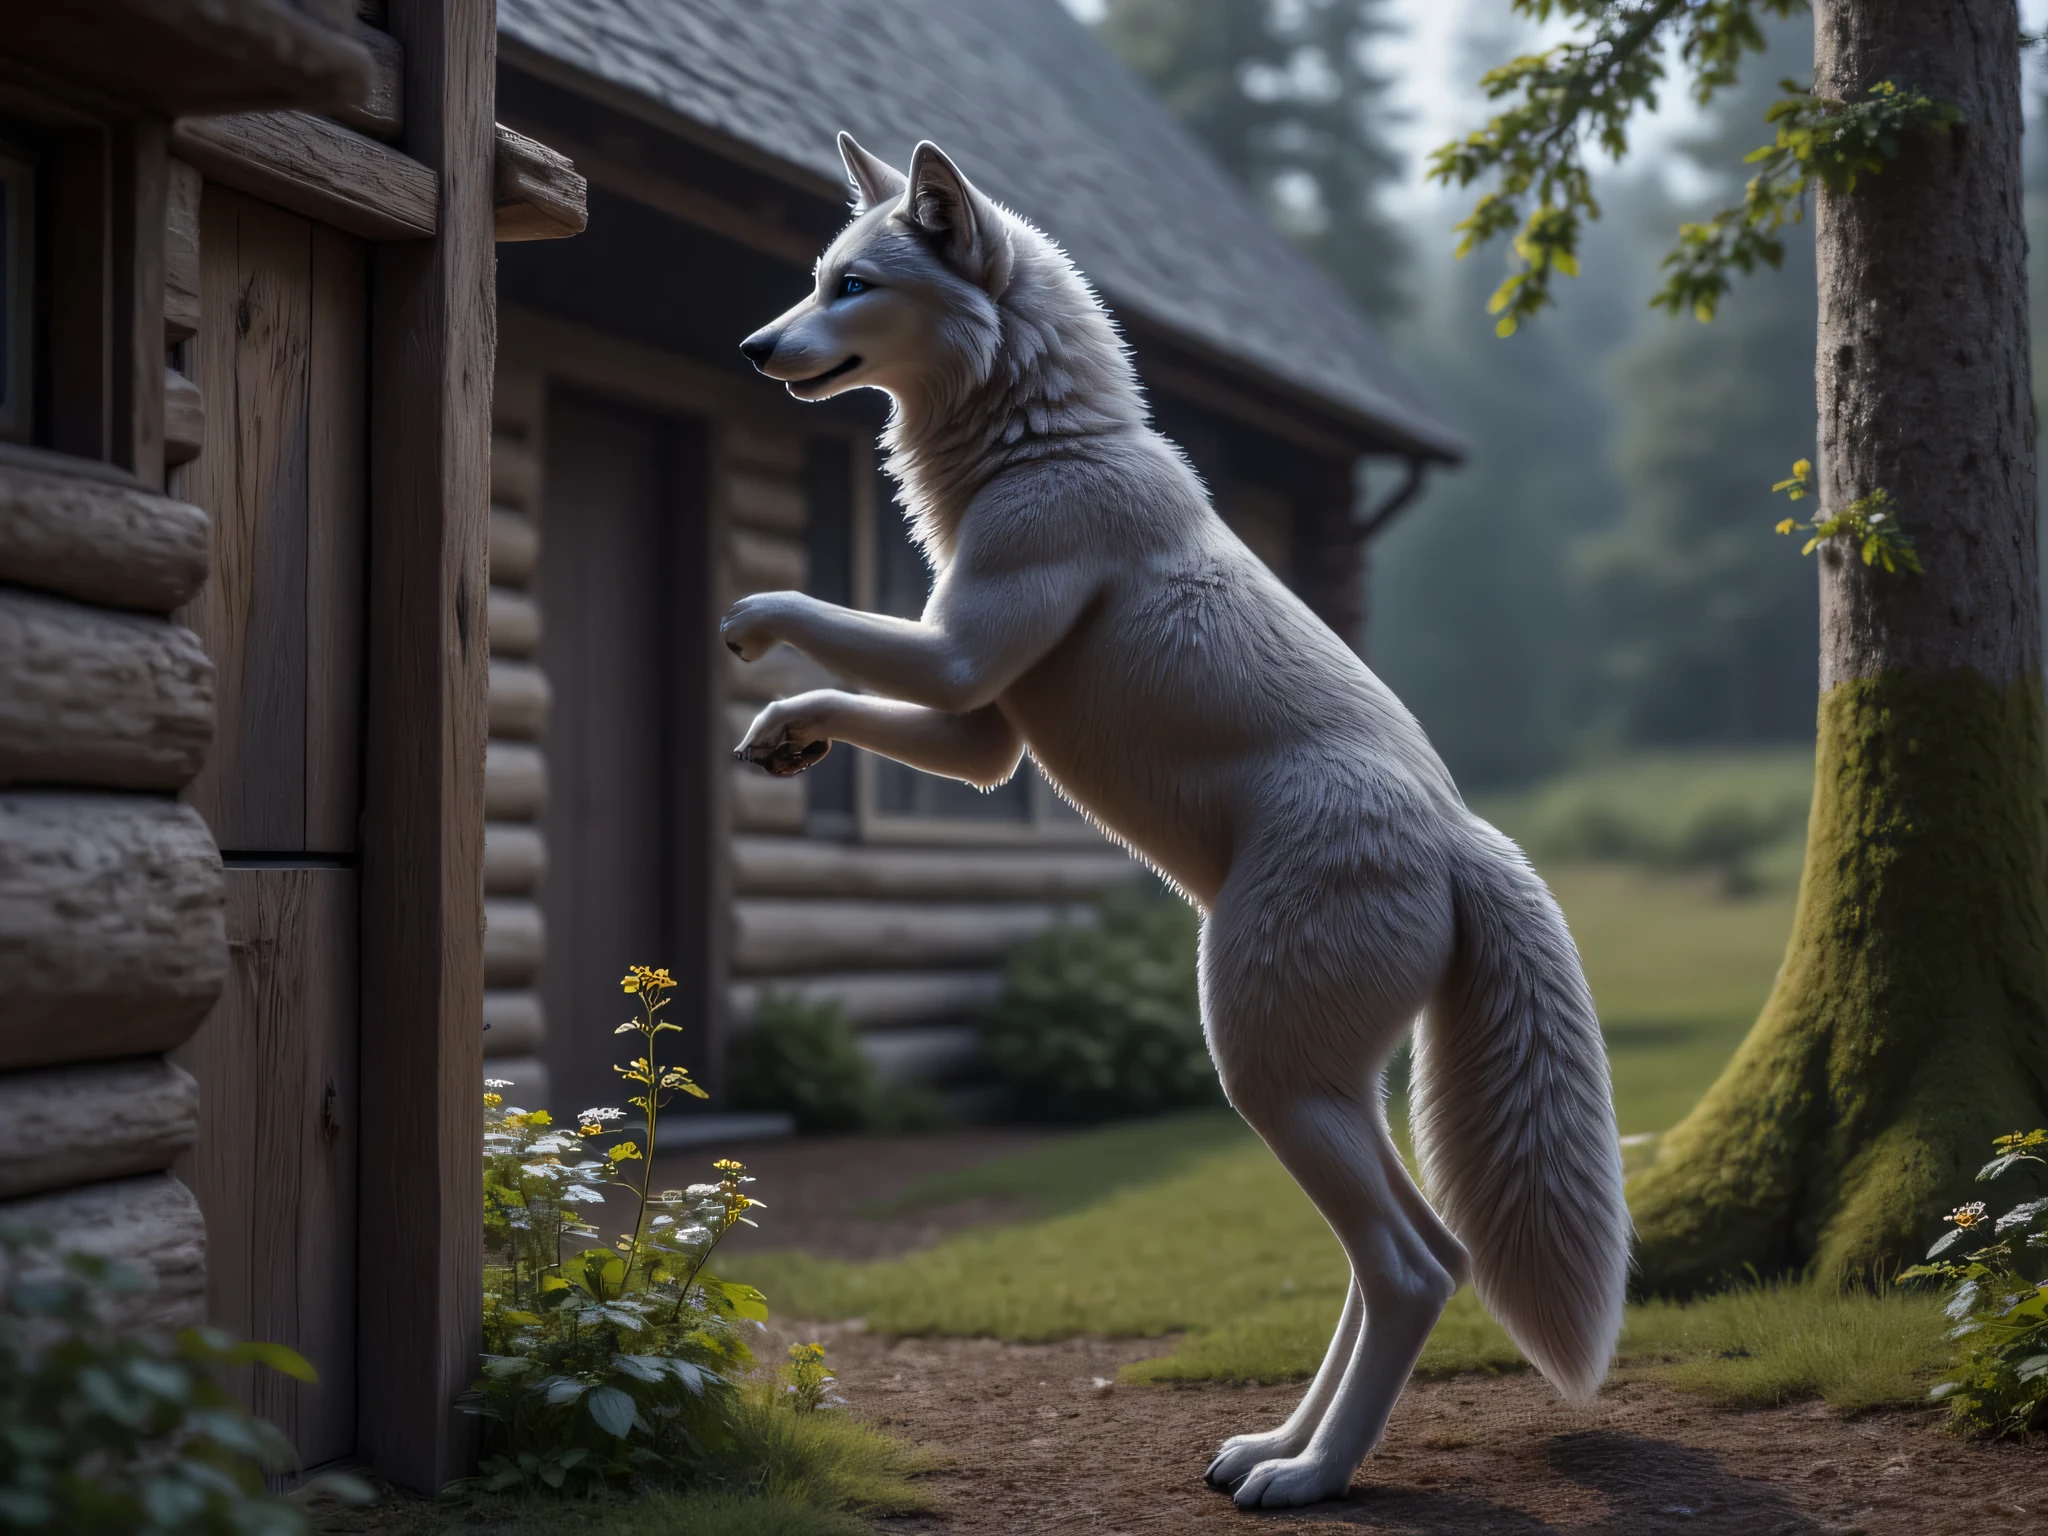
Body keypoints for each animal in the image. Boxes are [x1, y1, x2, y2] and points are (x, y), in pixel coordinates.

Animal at [726, 133, 1631, 1509]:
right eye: (815, 277)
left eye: (852, 286)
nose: (751, 348)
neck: (1040, 442)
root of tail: (1468, 843)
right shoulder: (981, 735)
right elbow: (848, 691)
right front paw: (785, 735)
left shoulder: (952, 659)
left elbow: (813, 616)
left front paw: (749, 632)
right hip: (1324, 1088)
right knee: (1419, 1258)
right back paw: (1274, 1448)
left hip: (1263, 1069)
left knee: (1406, 1267)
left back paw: (1309, 1481)